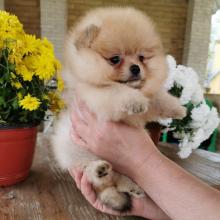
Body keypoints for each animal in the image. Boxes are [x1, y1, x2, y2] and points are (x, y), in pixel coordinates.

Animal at [52, 6, 186, 212]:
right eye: (115, 59)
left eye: (141, 57)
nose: (136, 68)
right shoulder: (97, 95)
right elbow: (117, 92)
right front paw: (134, 101)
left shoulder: (148, 97)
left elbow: (157, 97)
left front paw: (176, 108)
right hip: (78, 152)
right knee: (94, 176)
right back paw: (100, 170)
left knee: (118, 181)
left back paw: (132, 188)